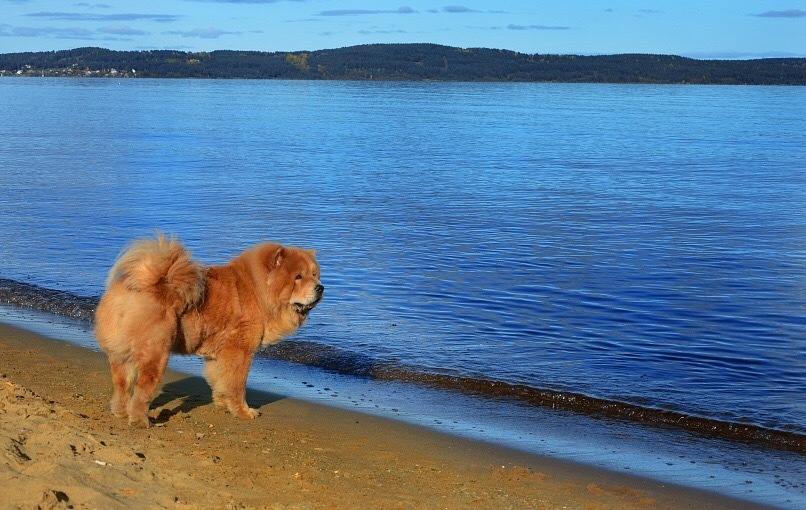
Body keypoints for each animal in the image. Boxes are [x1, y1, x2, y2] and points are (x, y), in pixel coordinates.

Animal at [99, 233, 326, 428]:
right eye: (298, 277)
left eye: (315, 275)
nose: (321, 287)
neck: (257, 290)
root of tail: (139, 282)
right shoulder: (241, 352)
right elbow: (237, 386)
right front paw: (244, 412)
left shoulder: (220, 354)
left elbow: (220, 381)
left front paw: (223, 405)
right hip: (156, 353)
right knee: (142, 388)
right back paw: (140, 420)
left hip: (121, 354)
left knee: (122, 384)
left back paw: (121, 412)